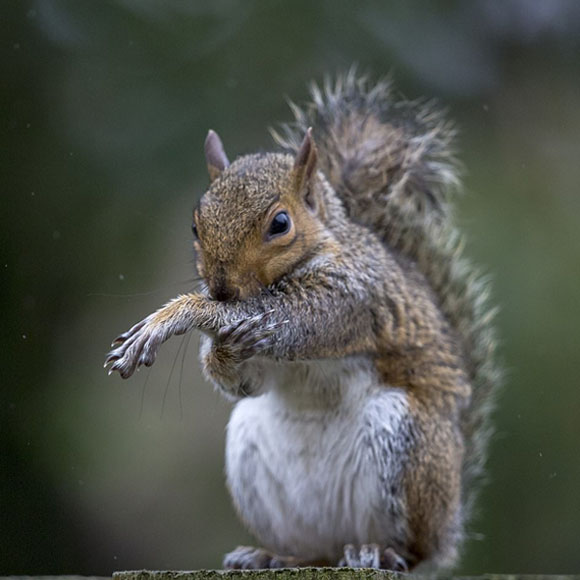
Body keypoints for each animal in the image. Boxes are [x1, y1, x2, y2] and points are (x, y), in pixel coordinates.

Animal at [105, 71, 502, 572]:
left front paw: (177, 316)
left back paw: (382, 552)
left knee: (412, 552)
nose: (221, 289)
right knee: (315, 550)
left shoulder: (354, 294)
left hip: (407, 446)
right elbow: (245, 382)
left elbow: (304, 317)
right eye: (196, 226)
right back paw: (271, 555)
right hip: (252, 451)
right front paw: (223, 350)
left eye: (280, 223)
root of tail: (447, 530)